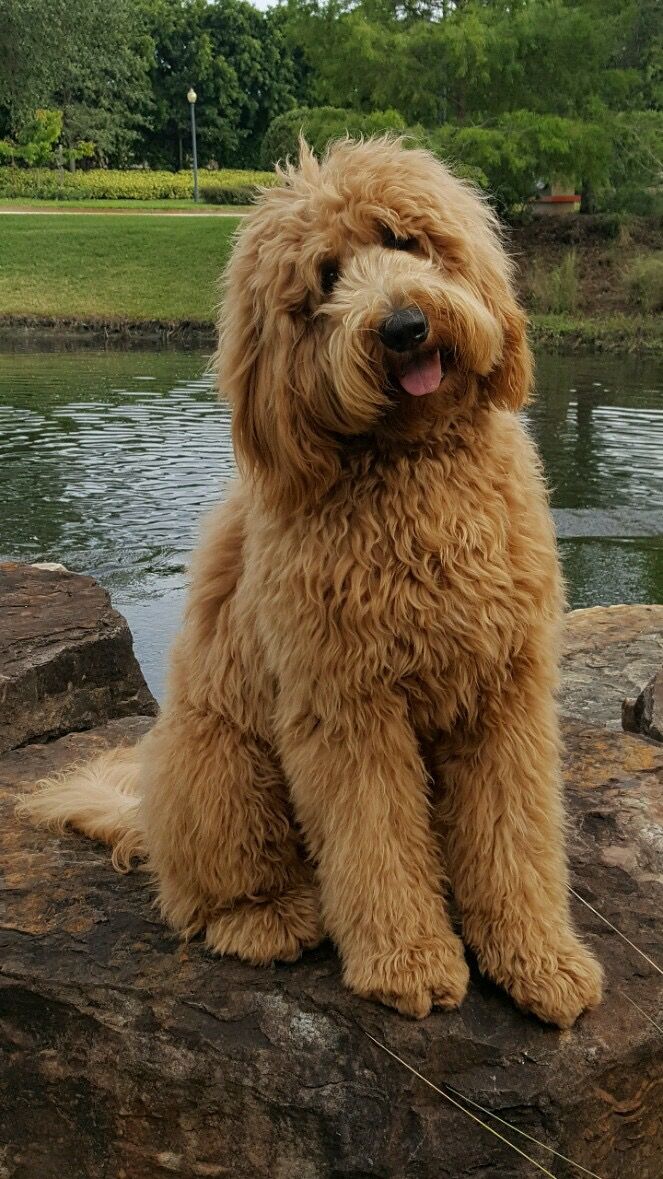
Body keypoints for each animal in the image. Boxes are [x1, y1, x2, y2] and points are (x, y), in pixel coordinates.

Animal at [21, 135, 599, 1023]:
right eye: (324, 280)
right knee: (206, 894)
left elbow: (515, 836)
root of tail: (147, 820)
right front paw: (409, 960)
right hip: (223, 764)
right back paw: (269, 918)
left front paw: (538, 957)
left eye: (404, 239)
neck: (410, 464)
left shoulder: (504, 689)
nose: (403, 325)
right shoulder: (346, 701)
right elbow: (375, 841)